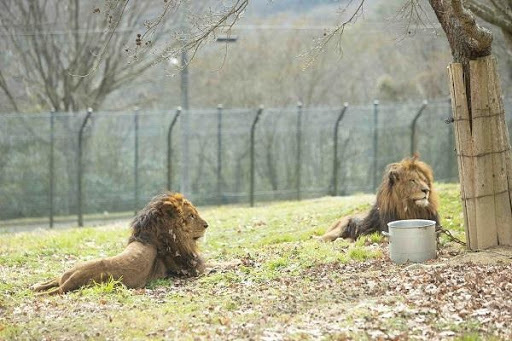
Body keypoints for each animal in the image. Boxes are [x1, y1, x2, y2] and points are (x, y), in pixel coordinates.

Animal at [33, 193, 208, 294]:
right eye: (192, 215)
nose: (207, 225)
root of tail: (72, 277)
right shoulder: (185, 269)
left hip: (68, 272)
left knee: (55, 279)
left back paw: (36, 286)